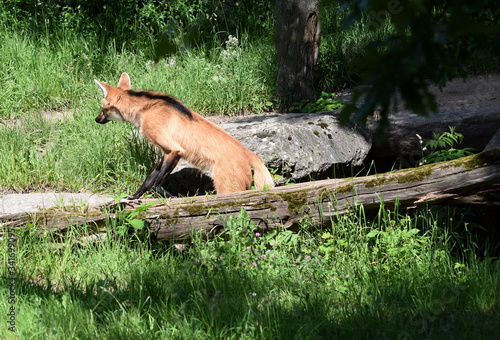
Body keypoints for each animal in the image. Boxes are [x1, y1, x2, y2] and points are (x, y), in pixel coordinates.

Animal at [94, 72, 274, 199]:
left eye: (103, 109)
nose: (96, 119)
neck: (145, 110)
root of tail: (250, 153)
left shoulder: (174, 150)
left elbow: (156, 184)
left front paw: (171, 197)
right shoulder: (168, 153)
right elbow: (148, 180)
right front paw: (133, 197)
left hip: (227, 187)